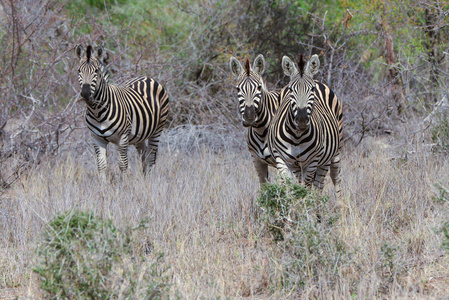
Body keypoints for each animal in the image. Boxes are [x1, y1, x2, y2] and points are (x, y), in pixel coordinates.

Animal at [74, 45, 169, 176]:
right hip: (139, 135)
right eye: (79, 71)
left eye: (96, 71)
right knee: (144, 155)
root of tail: (147, 77)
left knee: (151, 157)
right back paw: (144, 179)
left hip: (157, 129)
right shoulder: (96, 138)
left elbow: (123, 165)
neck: (97, 111)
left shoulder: (123, 138)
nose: (86, 94)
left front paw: (125, 182)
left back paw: (150, 179)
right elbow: (101, 166)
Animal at [266, 54, 344, 197]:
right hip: (300, 166)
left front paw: (304, 202)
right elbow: (289, 187)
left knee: (332, 179)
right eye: (290, 90)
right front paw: (290, 202)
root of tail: (318, 81)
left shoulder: (313, 161)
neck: (297, 137)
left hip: (333, 153)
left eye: (312, 89)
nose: (301, 120)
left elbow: (306, 188)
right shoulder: (281, 159)